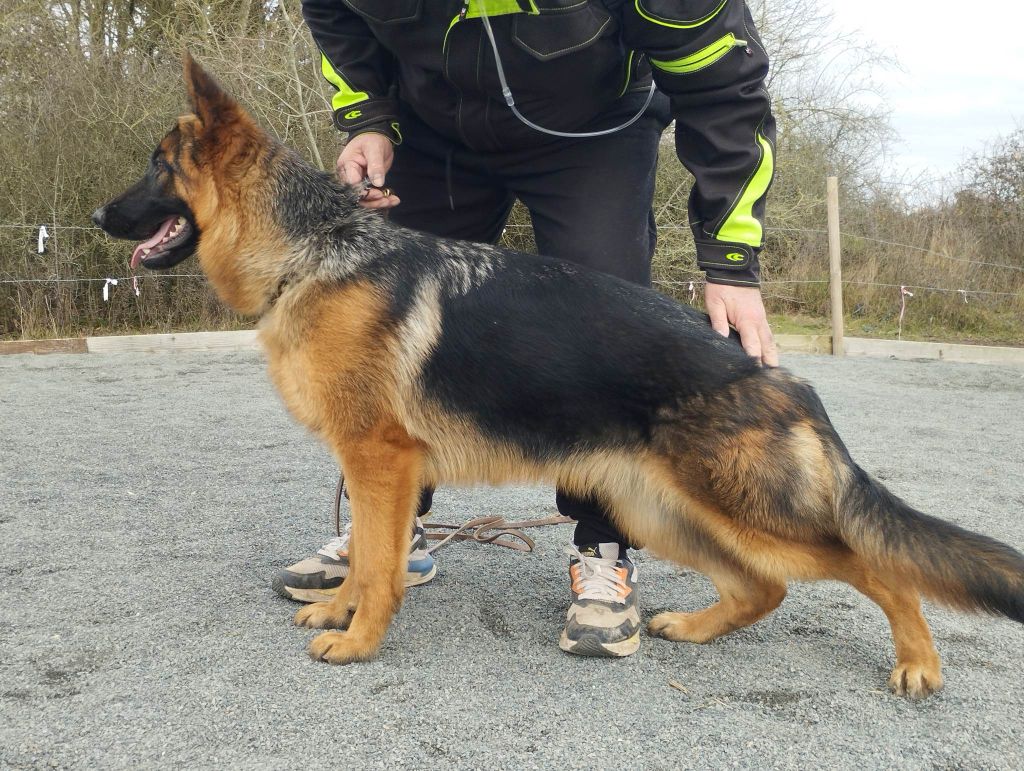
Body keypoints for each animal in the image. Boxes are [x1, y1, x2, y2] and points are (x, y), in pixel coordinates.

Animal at [92, 58, 1019, 696]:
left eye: (158, 165)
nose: (98, 214)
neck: (313, 253)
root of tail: (781, 378)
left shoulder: (382, 462)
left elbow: (382, 566)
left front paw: (358, 639)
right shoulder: (375, 470)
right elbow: (366, 555)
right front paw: (338, 607)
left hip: (741, 511)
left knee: (874, 565)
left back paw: (917, 662)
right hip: (664, 509)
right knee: (766, 586)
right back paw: (694, 625)